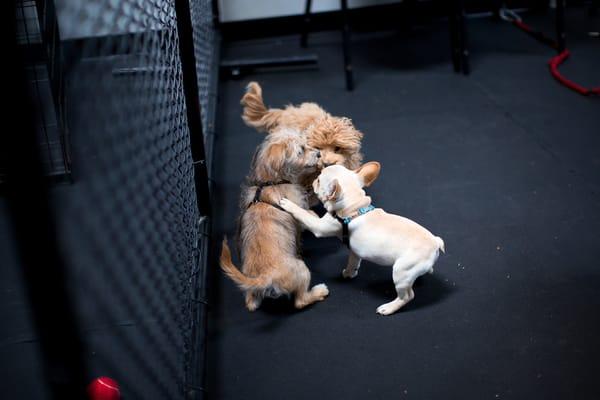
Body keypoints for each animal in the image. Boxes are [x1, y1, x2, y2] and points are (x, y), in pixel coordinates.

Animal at [219, 127, 328, 310]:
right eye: (301, 151)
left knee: (251, 303)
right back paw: (319, 291)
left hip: (253, 294)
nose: (319, 153)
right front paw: (314, 214)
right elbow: (306, 215)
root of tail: (265, 277)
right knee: (300, 301)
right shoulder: (298, 210)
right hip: (302, 269)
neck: (270, 182)